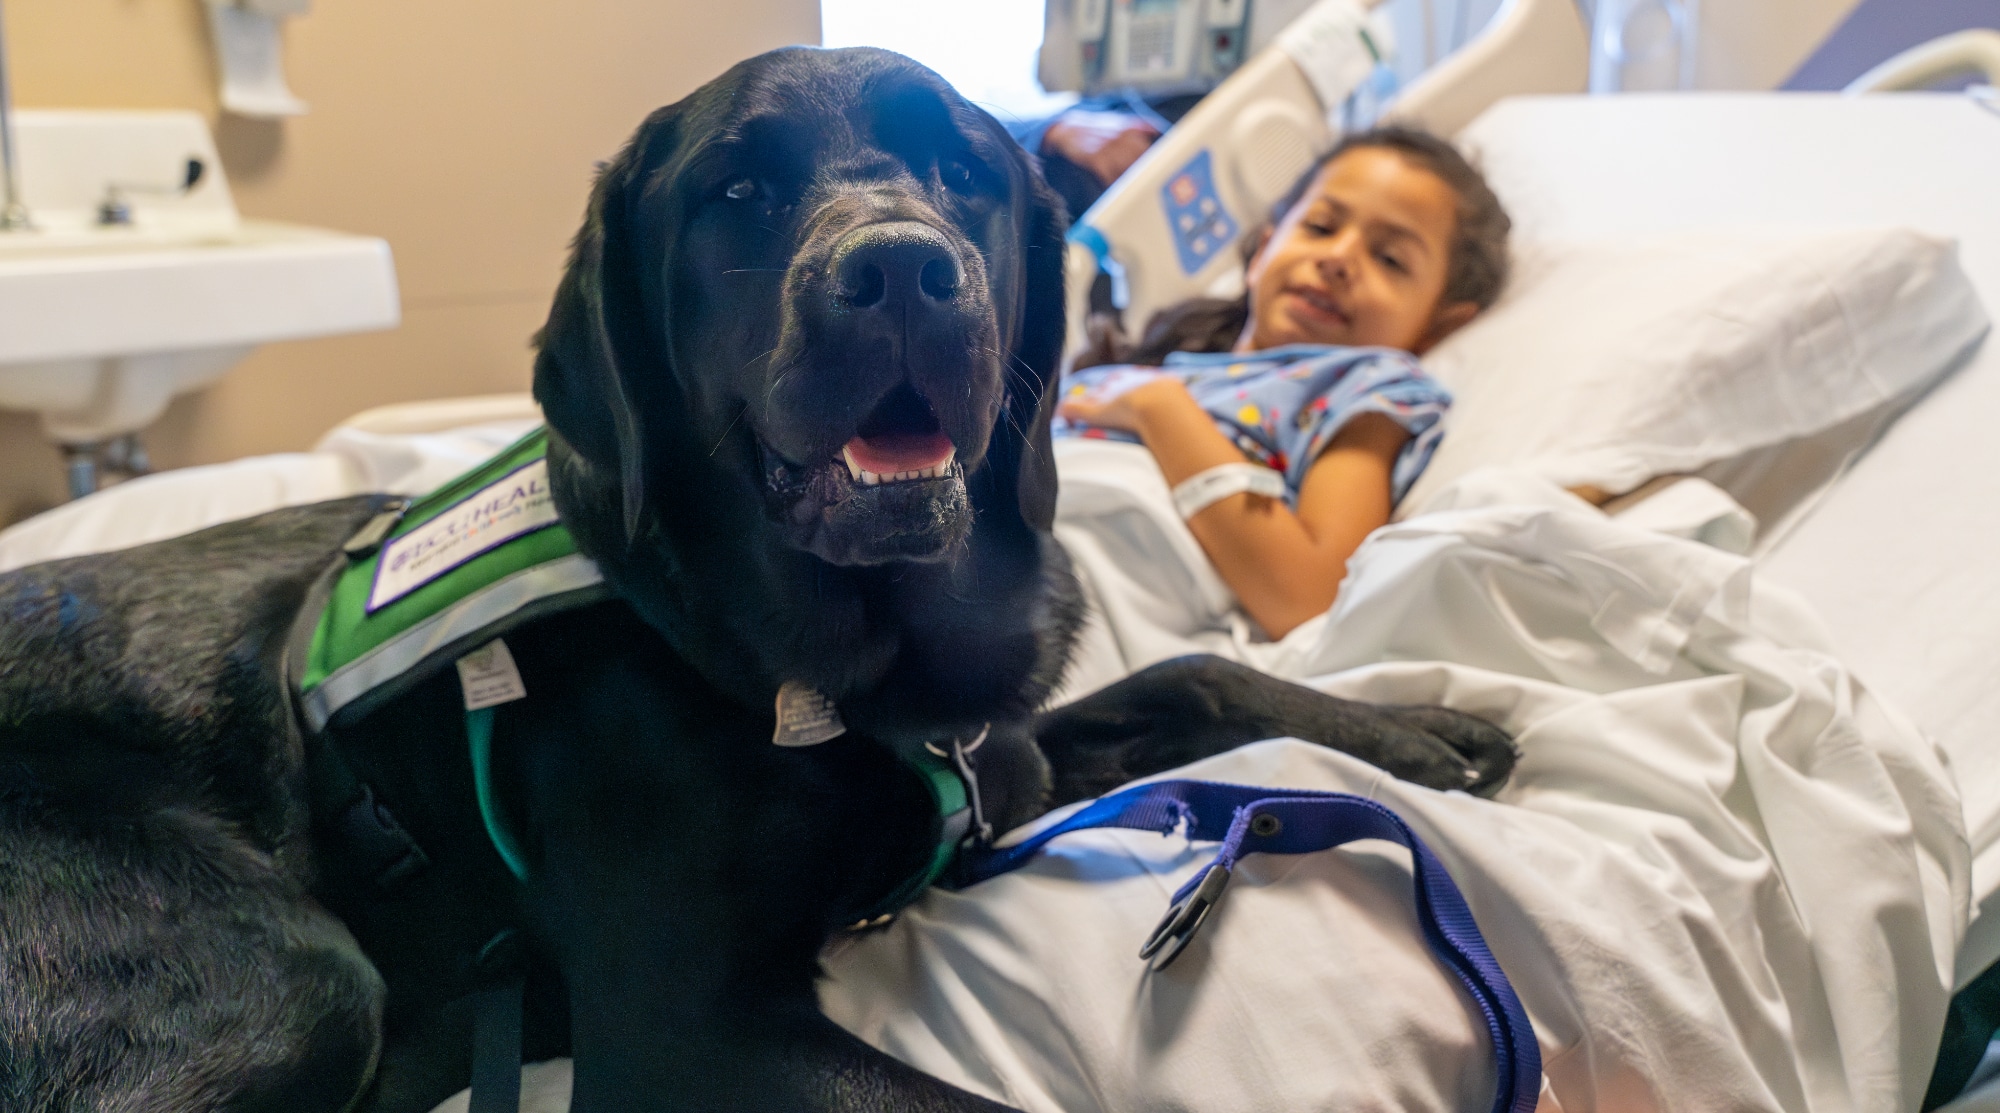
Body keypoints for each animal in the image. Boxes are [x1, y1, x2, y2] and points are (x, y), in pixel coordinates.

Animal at [0, 45, 1504, 1113]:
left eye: (962, 171)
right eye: (735, 192)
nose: (901, 270)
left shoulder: (994, 761)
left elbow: (1195, 671)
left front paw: (1422, 729)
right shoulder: (691, 1034)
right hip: (283, 976)